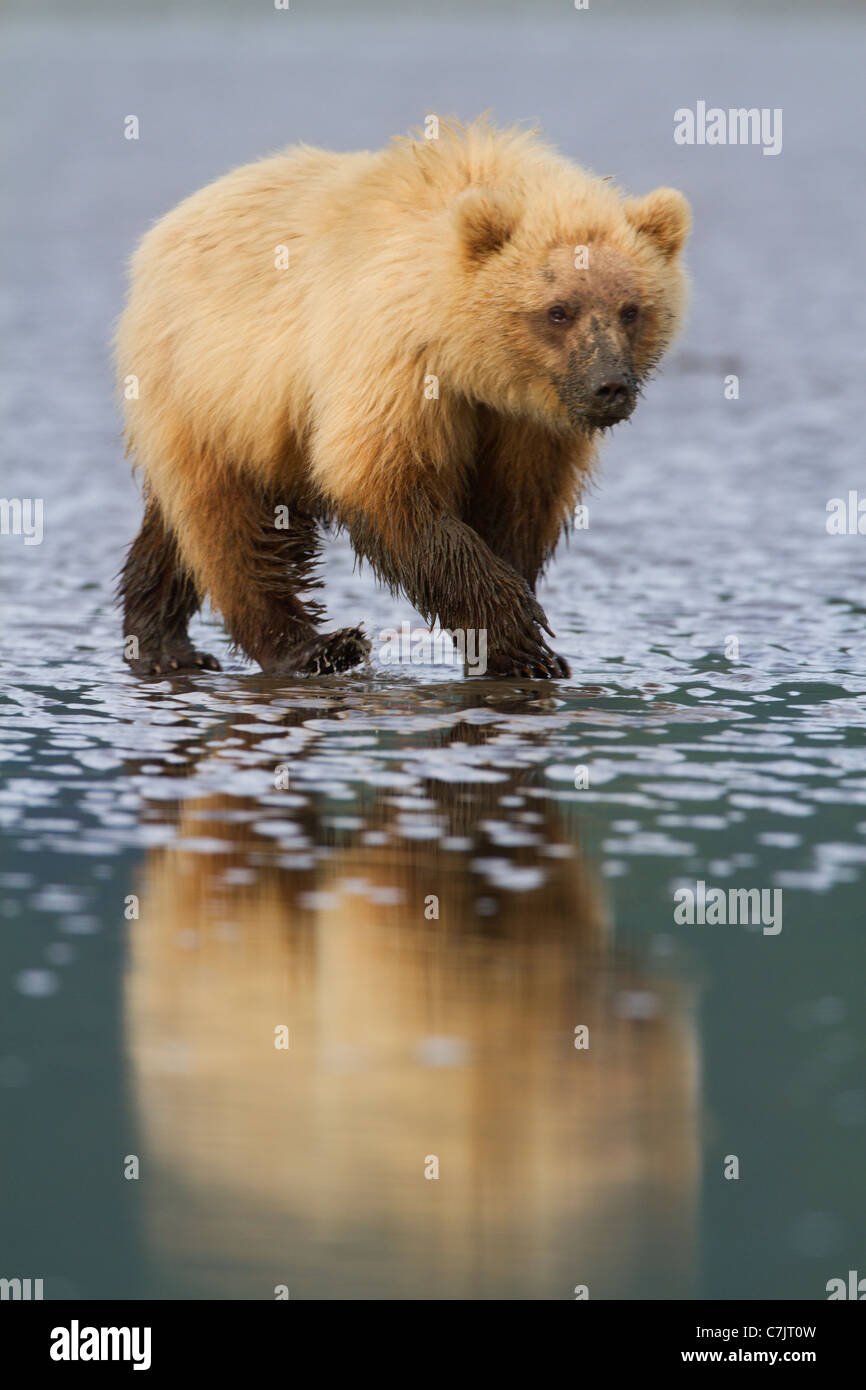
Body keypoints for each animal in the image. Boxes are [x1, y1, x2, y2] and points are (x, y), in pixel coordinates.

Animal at [118, 115, 692, 678]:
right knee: (230, 527)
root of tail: (166, 228)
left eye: (631, 309)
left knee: (175, 531)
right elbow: (386, 481)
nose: (609, 385)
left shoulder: (527, 422)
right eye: (558, 310)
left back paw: (162, 641)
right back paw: (311, 647)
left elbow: (519, 504)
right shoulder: (397, 363)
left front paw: (514, 642)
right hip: (205, 387)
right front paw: (518, 634)